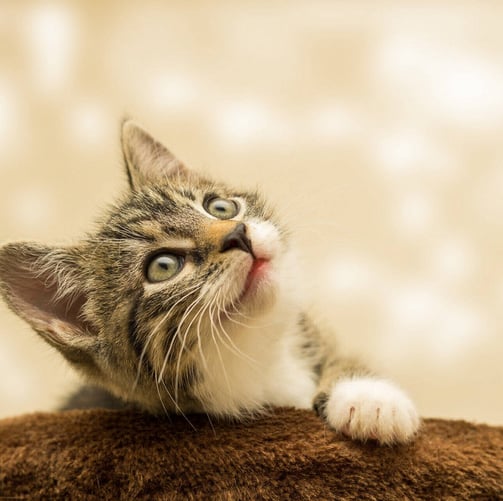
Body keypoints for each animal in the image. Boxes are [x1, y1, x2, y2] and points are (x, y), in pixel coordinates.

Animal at [0, 121, 422, 442]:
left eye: (219, 206)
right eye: (163, 266)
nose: (238, 233)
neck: (260, 358)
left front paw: (369, 397)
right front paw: (369, 403)